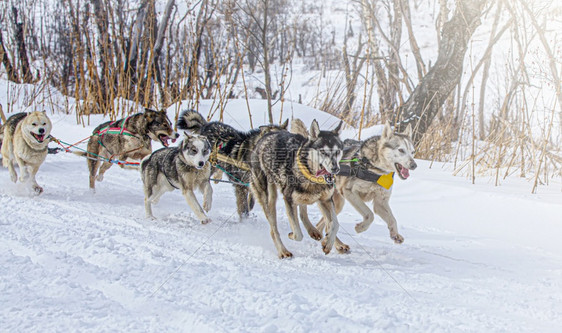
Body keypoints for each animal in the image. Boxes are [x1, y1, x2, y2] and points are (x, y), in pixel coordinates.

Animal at [248, 118, 342, 258]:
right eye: (323, 152)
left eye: (337, 152)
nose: (335, 168)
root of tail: (266, 136)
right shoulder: (289, 199)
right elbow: (298, 233)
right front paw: (292, 234)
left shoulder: (326, 200)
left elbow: (335, 224)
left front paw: (328, 243)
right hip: (269, 198)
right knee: (273, 229)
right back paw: (283, 251)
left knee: (303, 211)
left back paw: (312, 230)